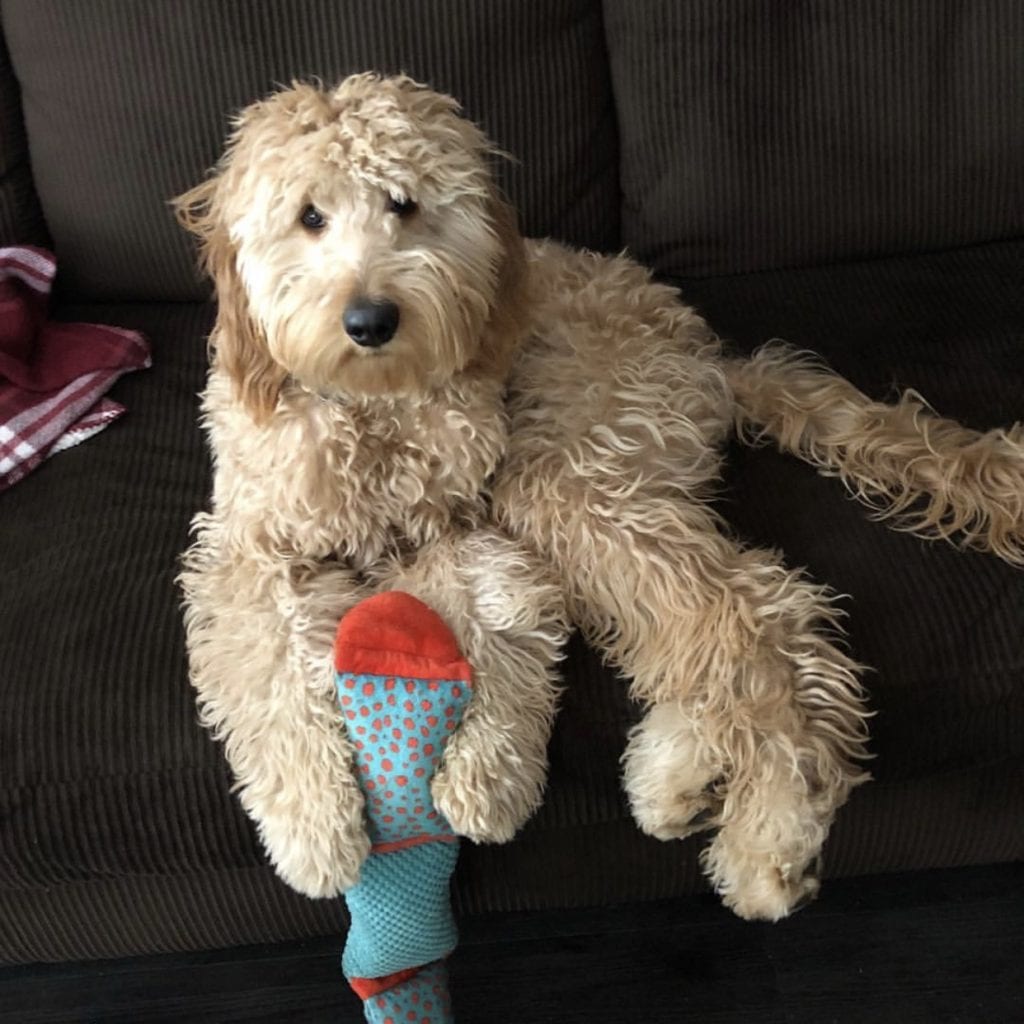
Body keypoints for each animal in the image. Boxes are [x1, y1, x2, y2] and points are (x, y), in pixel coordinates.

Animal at [176, 72, 1024, 921]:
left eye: (405, 203)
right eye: (308, 216)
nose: (370, 319)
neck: (374, 411)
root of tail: (709, 354)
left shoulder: (474, 534)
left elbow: (500, 639)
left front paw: (486, 782)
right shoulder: (250, 556)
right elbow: (271, 677)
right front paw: (315, 827)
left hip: (570, 469)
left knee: (753, 615)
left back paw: (768, 837)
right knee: (708, 629)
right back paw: (674, 777)